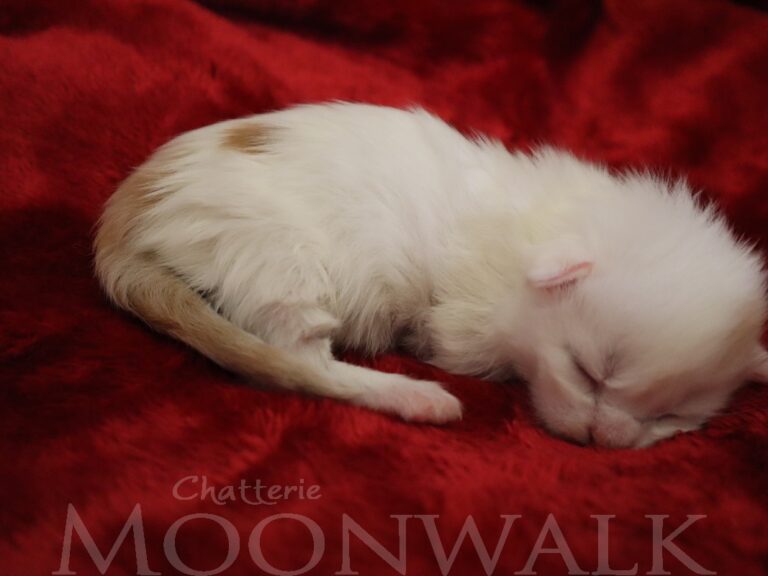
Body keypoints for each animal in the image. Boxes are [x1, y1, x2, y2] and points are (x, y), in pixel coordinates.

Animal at [94, 102, 768, 448]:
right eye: (588, 374)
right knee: (298, 363)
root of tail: (128, 214)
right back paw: (414, 396)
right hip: (279, 259)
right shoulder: (464, 328)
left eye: (672, 418)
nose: (604, 439)